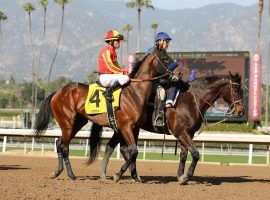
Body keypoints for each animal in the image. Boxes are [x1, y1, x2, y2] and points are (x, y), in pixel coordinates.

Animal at [34, 50, 181, 181]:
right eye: (165, 58)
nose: (178, 74)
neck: (135, 93)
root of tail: (57, 93)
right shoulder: (125, 127)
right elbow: (133, 150)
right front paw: (118, 175)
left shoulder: (135, 128)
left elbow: (132, 152)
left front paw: (135, 177)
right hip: (67, 124)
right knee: (64, 146)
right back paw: (71, 175)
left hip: (77, 124)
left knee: (59, 143)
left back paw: (57, 172)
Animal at [89, 71, 245, 184]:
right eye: (236, 89)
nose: (240, 111)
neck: (192, 100)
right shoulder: (182, 132)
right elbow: (195, 154)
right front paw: (186, 177)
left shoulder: (187, 134)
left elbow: (183, 155)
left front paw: (179, 176)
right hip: (126, 127)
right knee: (123, 149)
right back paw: (119, 174)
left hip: (125, 128)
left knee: (116, 147)